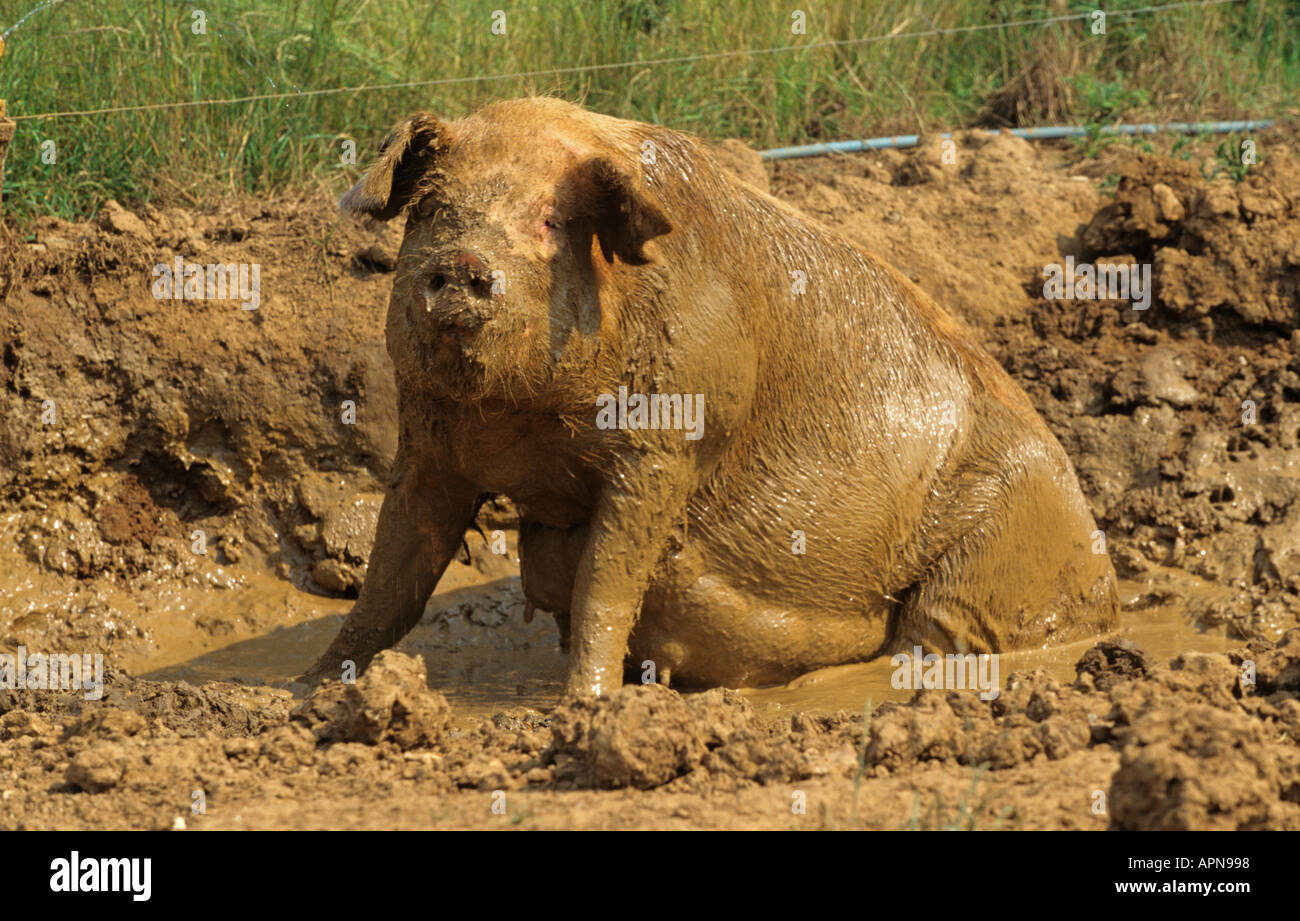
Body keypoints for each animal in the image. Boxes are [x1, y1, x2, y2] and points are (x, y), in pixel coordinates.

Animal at [304, 96, 1118, 697]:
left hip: (991, 559)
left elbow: (606, 579)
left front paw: (582, 706)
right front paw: (305, 689)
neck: (525, 425)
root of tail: (1105, 578)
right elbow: (391, 575)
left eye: (550, 221)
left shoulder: (669, 442)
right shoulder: (430, 442)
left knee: (928, 642)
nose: (462, 261)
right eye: (432, 209)